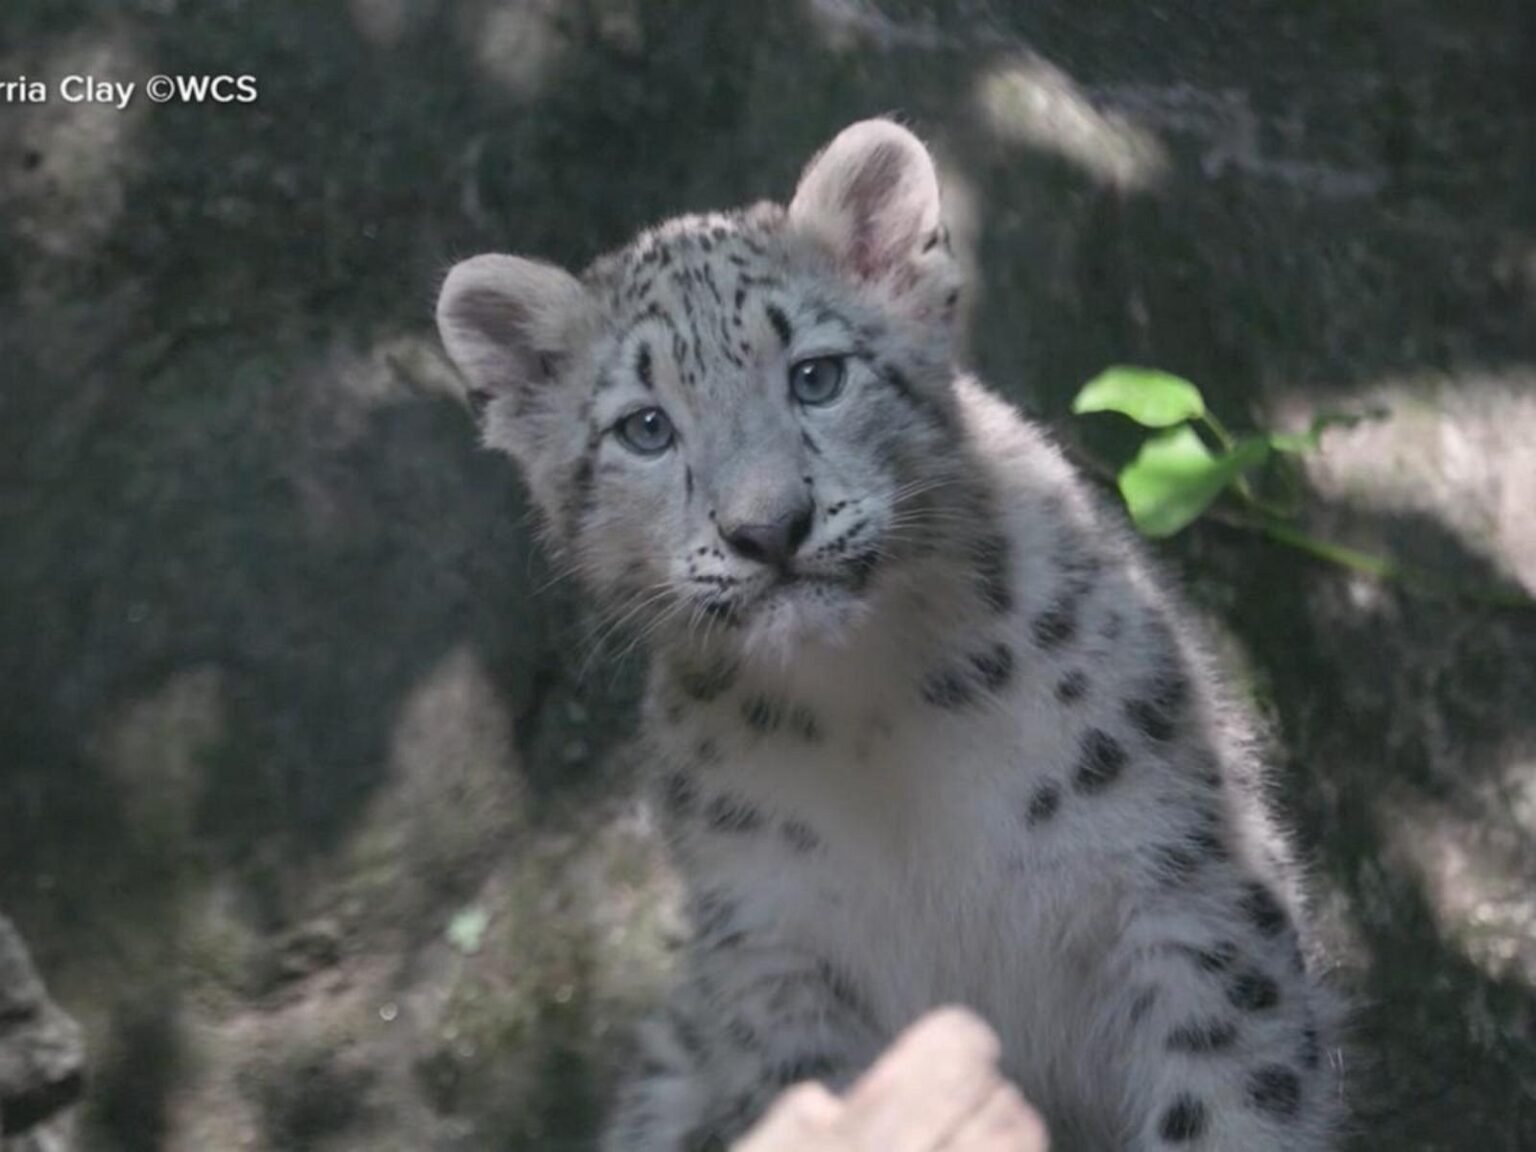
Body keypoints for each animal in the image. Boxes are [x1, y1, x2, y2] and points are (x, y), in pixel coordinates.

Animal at [435, 119, 1345, 1151]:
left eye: (817, 374)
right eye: (646, 428)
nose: (769, 529)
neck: (873, 717)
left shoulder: (1183, 891)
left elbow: (1227, 1103)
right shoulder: (780, 958)